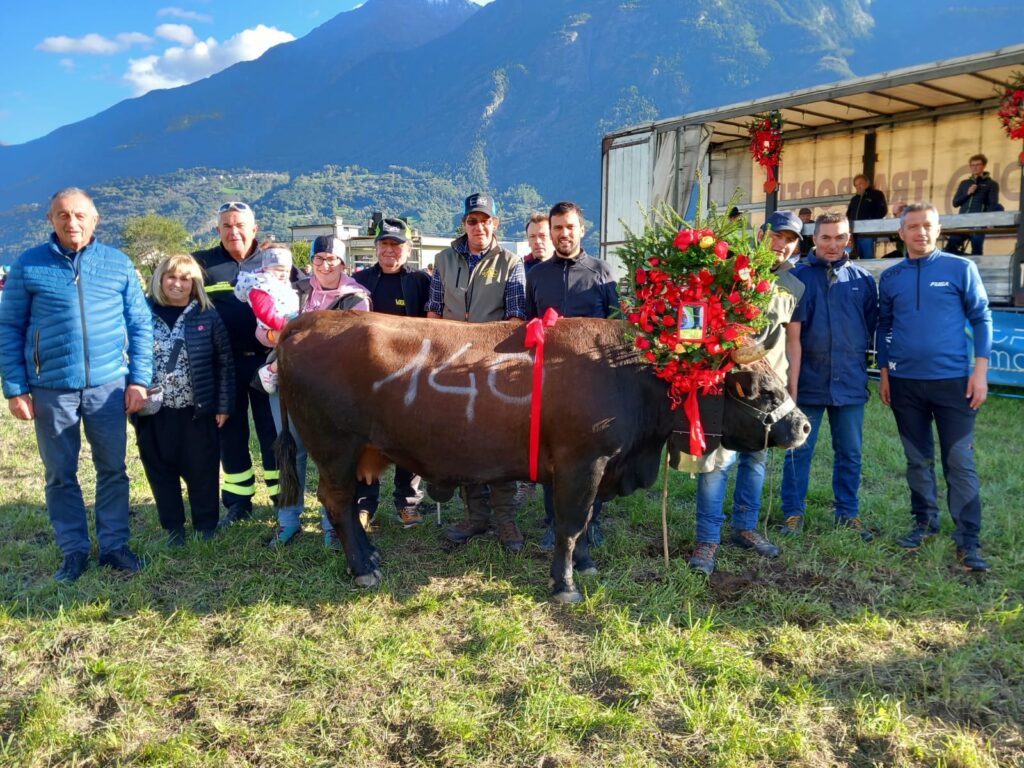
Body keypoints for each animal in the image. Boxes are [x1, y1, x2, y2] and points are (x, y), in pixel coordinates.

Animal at [276, 309, 811, 606]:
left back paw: (370, 555)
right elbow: (572, 524)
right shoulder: (583, 462)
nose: (803, 426)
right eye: (756, 386)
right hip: (335, 448)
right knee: (339, 504)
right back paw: (363, 567)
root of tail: (305, 321)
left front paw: (587, 565)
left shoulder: (603, 466)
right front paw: (565, 583)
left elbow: (590, 518)